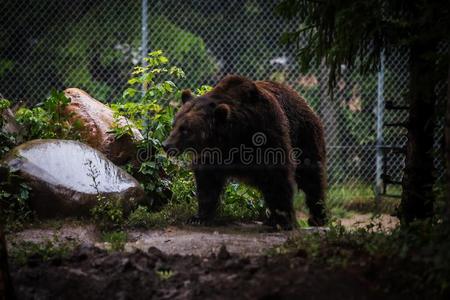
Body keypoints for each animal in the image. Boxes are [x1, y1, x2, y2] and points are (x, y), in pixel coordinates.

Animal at [163, 75, 326, 230]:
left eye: (185, 130)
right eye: (174, 124)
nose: (166, 145)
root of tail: (301, 99)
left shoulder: (266, 134)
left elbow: (278, 177)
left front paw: (284, 220)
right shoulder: (212, 156)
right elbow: (207, 183)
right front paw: (199, 217)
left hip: (304, 134)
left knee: (311, 178)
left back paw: (316, 217)